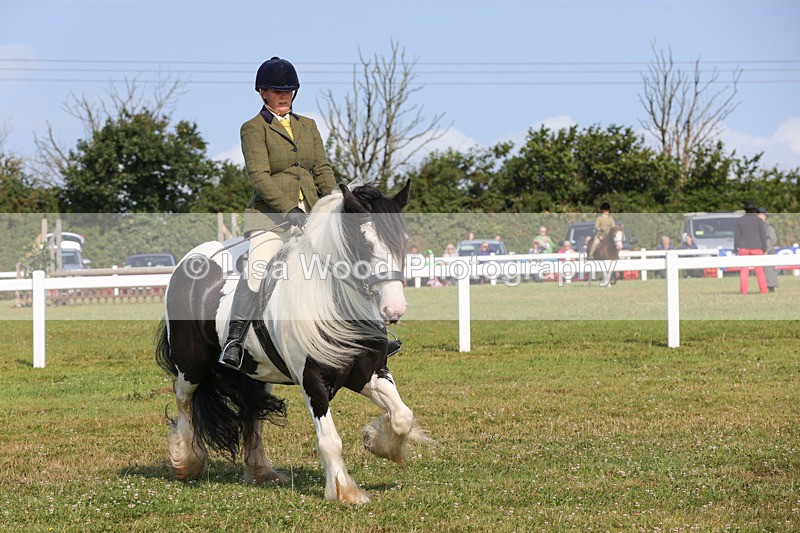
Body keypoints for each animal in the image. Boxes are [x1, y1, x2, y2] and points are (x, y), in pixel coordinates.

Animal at [155, 179, 432, 504]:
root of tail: (188, 260)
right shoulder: (312, 379)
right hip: (192, 365)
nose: (394, 309)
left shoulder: (368, 373)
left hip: (255, 373)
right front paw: (345, 491)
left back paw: (261, 472)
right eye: (364, 244)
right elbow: (330, 439)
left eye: (403, 240)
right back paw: (185, 461)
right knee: (184, 400)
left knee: (251, 410)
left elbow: (402, 416)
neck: (331, 299)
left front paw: (377, 441)